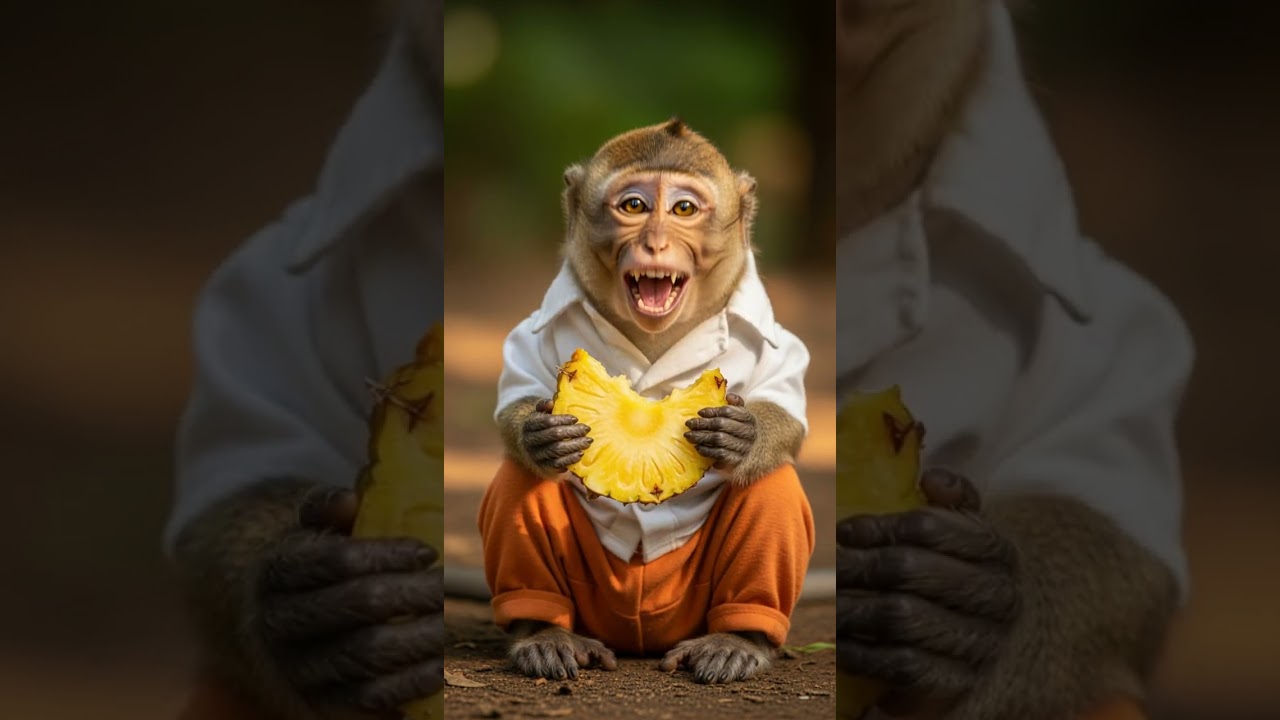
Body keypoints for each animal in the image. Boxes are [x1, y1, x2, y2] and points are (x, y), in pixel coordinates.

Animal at [480, 118, 816, 686]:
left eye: (683, 209)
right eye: (634, 206)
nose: (656, 243)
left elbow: (787, 413)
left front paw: (741, 436)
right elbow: (516, 399)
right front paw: (539, 434)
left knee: (769, 484)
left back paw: (737, 640)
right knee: (520, 480)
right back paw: (543, 634)